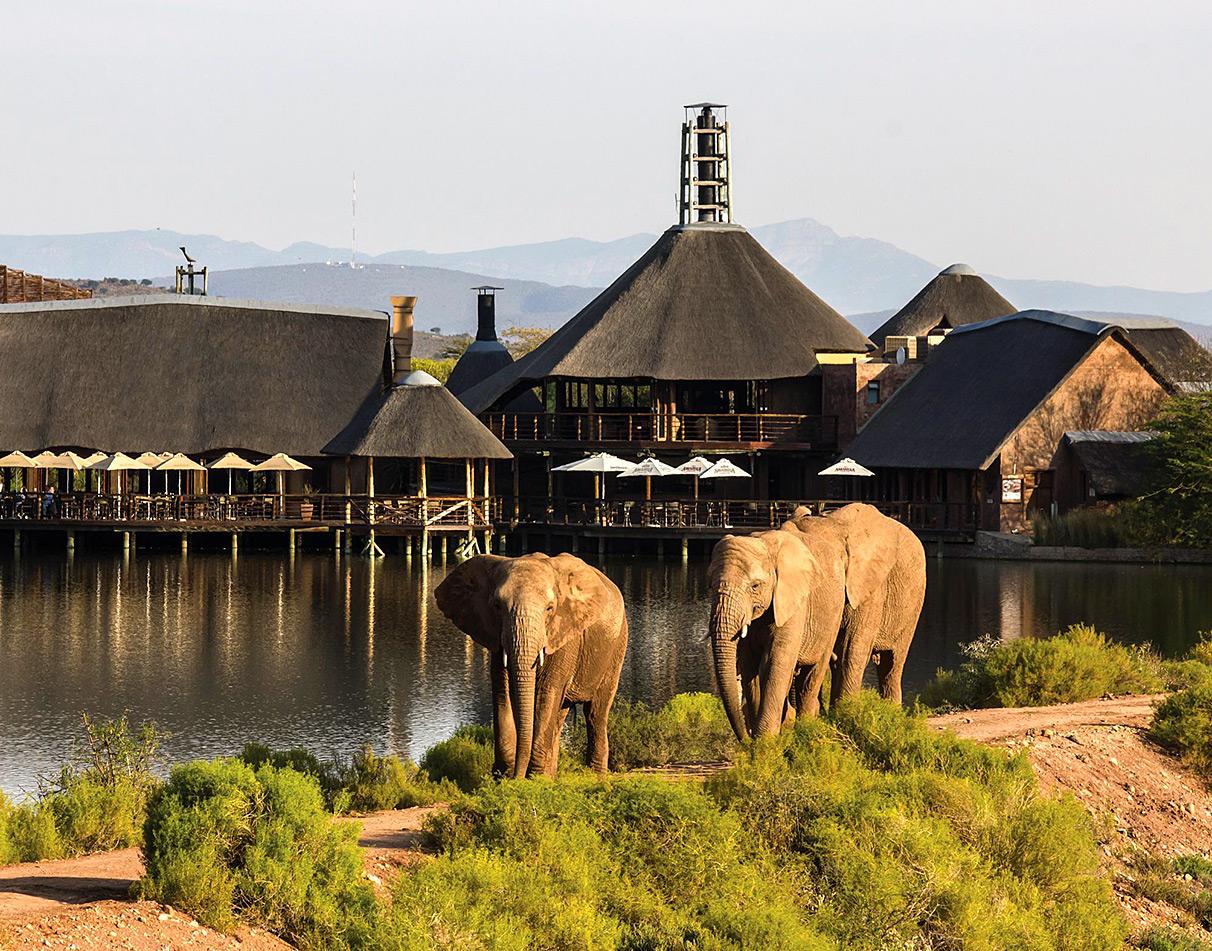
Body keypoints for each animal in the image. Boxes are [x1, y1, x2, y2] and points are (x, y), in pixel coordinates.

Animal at [434, 552, 628, 778]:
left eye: (550, 608)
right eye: (497, 606)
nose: (516, 776)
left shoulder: (564, 634)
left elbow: (546, 693)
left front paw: (534, 778)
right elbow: (502, 692)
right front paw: (504, 775)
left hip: (617, 646)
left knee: (595, 713)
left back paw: (594, 776)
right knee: (561, 715)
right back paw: (552, 775)